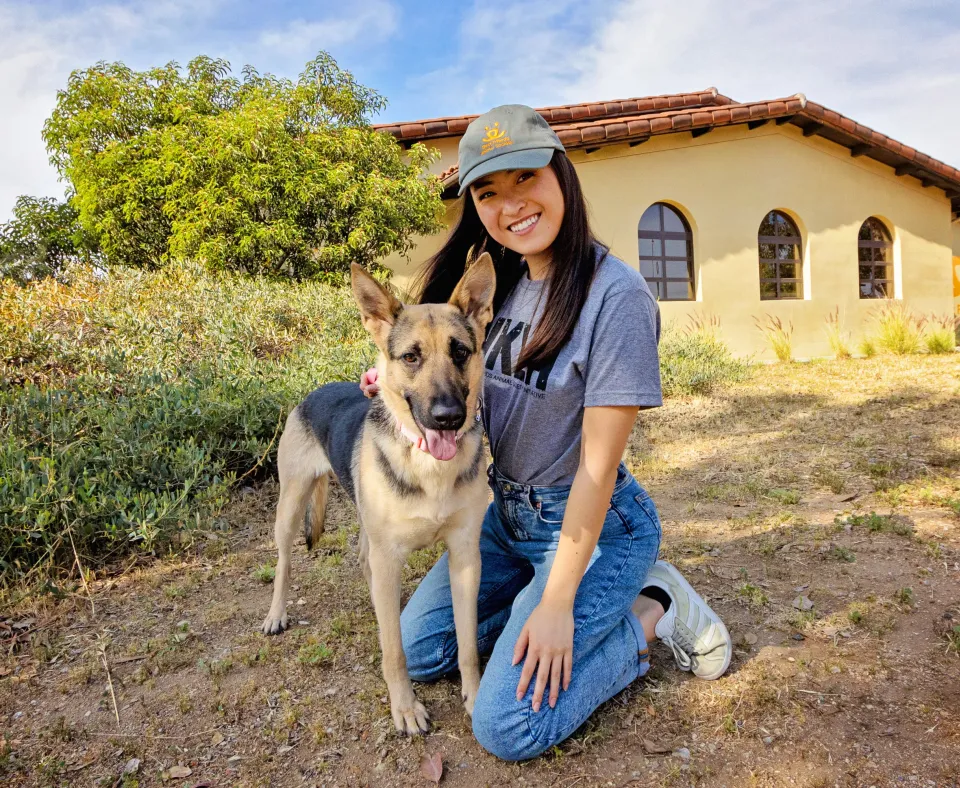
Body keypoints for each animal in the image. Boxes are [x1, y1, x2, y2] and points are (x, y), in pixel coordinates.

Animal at [262, 255, 496, 736]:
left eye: (460, 351)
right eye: (411, 356)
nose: (448, 417)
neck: (427, 465)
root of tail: (316, 390)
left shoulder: (465, 556)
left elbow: (466, 643)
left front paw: (475, 695)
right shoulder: (391, 559)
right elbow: (394, 650)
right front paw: (405, 708)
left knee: (364, 559)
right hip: (290, 508)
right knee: (285, 562)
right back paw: (276, 614)